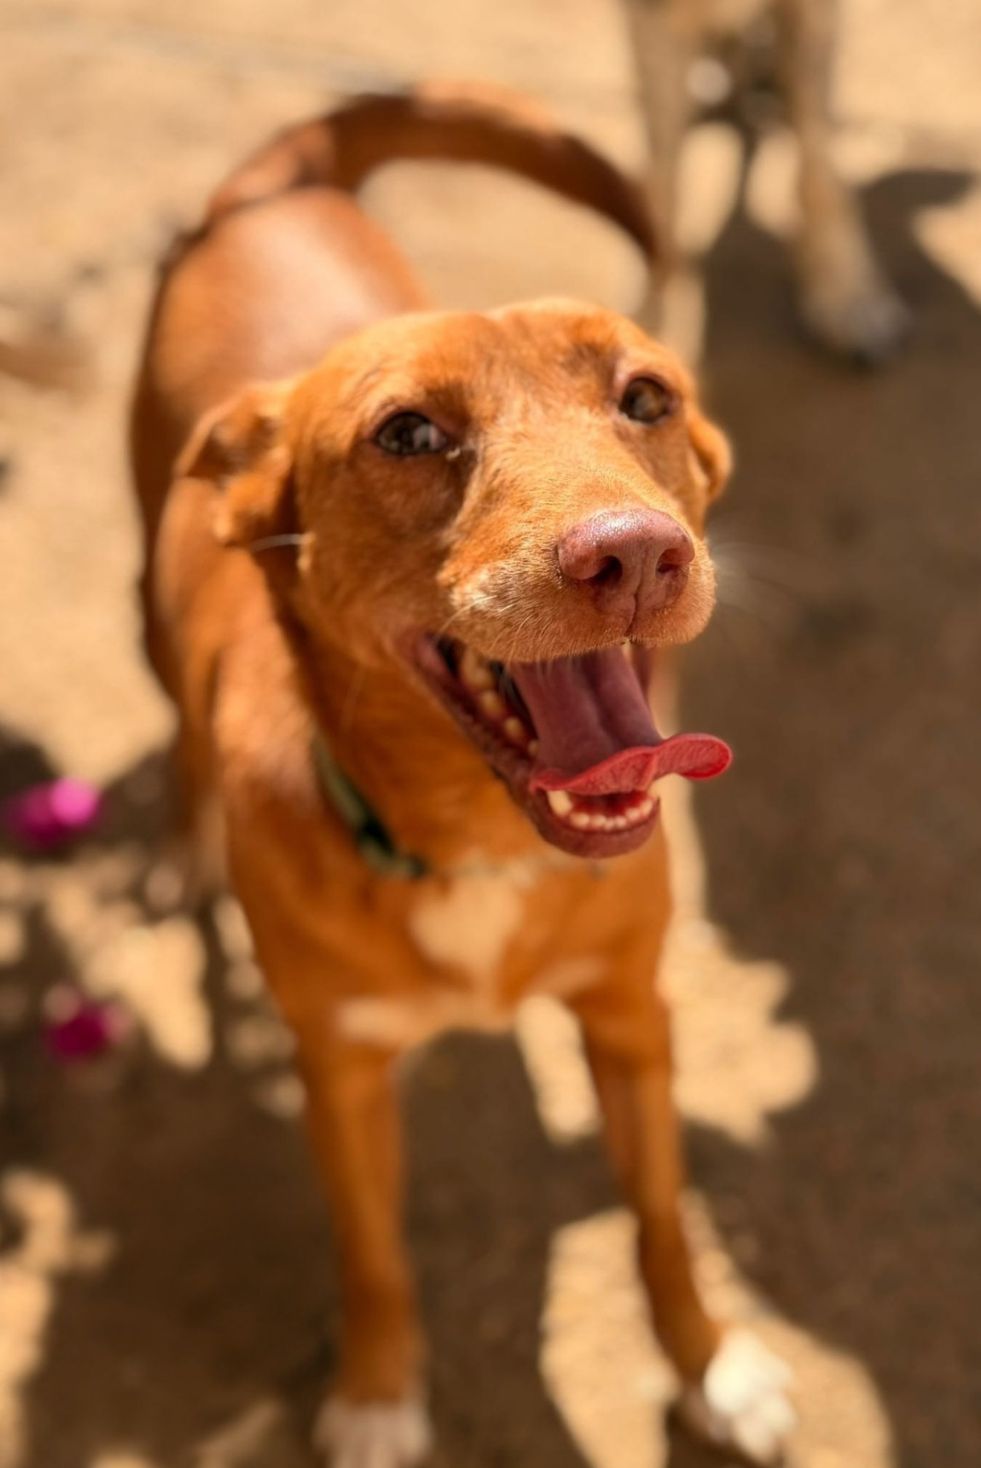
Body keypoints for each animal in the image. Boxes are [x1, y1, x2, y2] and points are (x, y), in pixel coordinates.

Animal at [131, 84, 795, 1466]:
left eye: (646, 397)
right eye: (408, 432)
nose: (634, 554)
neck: (480, 845)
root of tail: (278, 178)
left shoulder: (632, 1015)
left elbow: (664, 1220)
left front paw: (710, 1365)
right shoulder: (339, 1070)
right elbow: (374, 1251)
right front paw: (381, 1395)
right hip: (147, 602)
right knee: (174, 726)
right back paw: (176, 844)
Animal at [624, 0, 908, 363]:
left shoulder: (815, 16)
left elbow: (821, 173)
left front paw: (848, 296)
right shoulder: (655, 20)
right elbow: (664, 188)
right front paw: (649, 324)